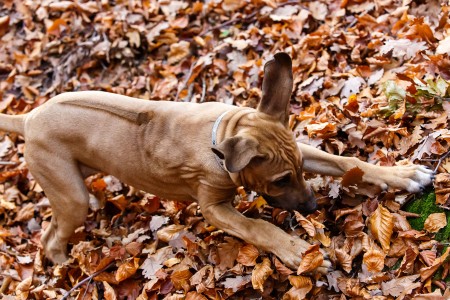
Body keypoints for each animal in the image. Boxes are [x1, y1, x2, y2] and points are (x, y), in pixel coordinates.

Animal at [0, 52, 432, 274]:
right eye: (279, 181)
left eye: (295, 172)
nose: (311, 208)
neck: (218, 139)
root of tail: (29, 118)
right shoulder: (213, 207)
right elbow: (257, 226)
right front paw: (294, 249)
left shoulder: (299, 147)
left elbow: (343, 159)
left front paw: (404, 174)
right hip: (69, 193)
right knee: (50, 236)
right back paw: (60, 263)